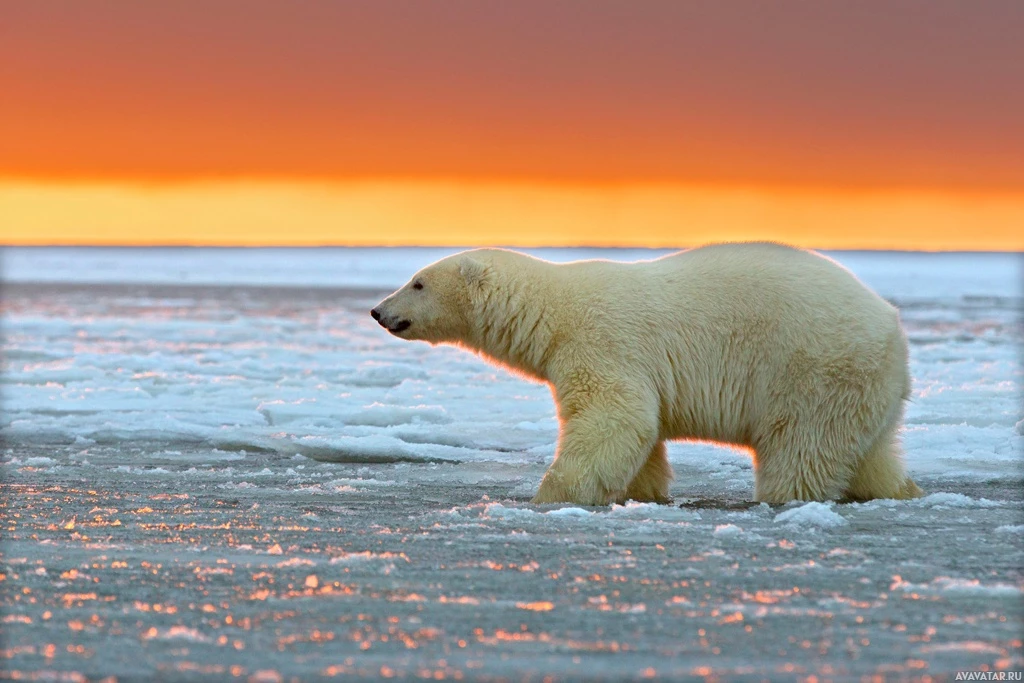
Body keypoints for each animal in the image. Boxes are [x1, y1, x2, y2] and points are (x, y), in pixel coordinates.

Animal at [372, 244, 925, 507]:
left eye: (417, 282)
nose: (379, 311)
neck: (553, 311)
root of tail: (893, 328)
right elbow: (643, 434)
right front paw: (642, 492)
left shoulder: (602, 341)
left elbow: (614, 418)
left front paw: (551, 494)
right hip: (865, 389)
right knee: (871, 452)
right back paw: (900, 490)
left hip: (813, 369)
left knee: (802, 449)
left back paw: (785, 495)